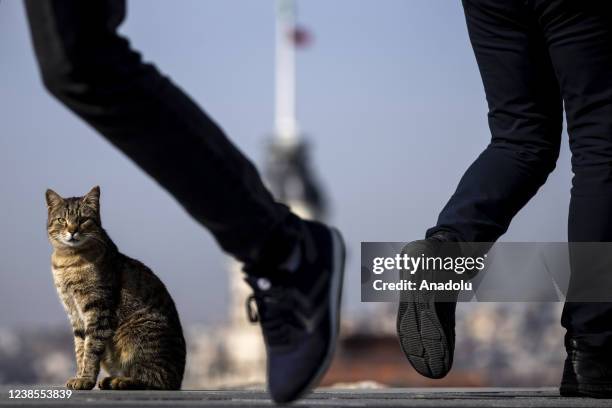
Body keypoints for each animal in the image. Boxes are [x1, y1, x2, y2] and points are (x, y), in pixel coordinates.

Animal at [46, 186, 185, 390]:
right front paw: (79, 375)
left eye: (83, 220)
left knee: (154, 379)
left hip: (139, 336)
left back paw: (121, 380)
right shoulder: (74, 312)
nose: (72, 230)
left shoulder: (98, 308)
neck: (68, 260)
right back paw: (110, 379)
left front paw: (85, 379)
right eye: (61, 220)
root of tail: (179, 378)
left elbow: (91, 348)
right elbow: (80, 348)